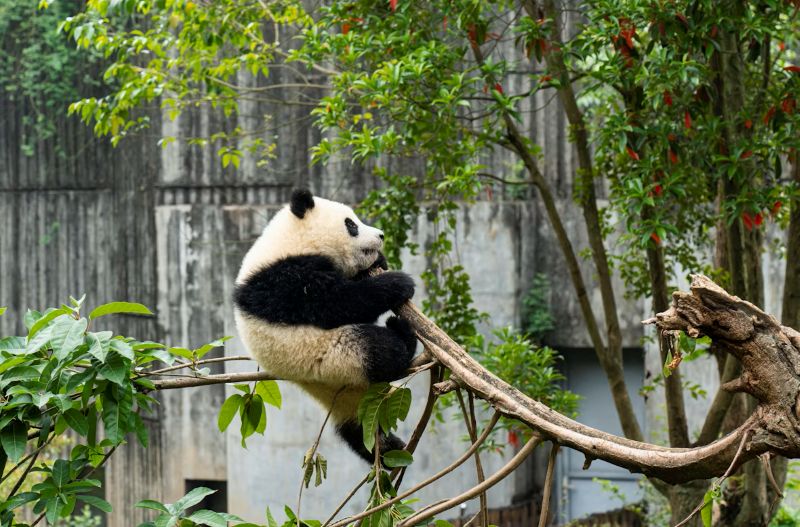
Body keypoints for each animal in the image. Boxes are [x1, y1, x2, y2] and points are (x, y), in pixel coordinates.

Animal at [233, 189, 418, 463]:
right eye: (351, 225)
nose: (381, 235)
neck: (290, 241)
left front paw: (379, 262)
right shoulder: (283, 281)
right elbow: (336, 303)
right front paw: (397, 283)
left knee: (356, 430)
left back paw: (387, 447)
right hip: (337, 357)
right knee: (383, 349)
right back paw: (402, 333)